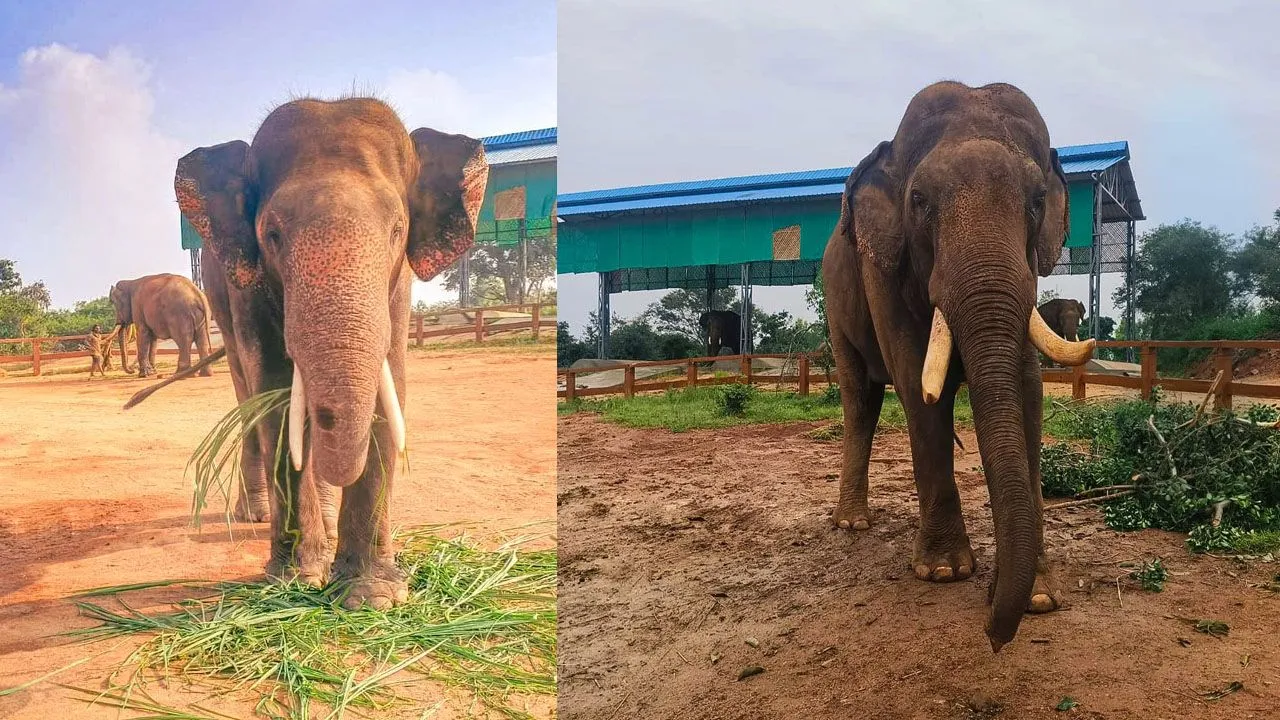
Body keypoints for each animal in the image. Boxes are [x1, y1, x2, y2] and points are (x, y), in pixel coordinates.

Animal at [168, 97, 488, 610]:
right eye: (272, 234)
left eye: (398, 230)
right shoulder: (247, 287)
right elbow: (275, 394)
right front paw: (297, 581)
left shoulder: (397, 287)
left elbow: (390, 385)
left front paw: (372, 598)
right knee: (246, 397)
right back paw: (257, 516)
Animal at [821, 81, 1095, 652]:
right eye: (919, 201)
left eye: (1038, 200)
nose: (991, 635)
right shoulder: (883, 269)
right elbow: (917, 385)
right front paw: (944, 572)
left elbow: (1027, 391)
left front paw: (1039, 598)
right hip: (836, 302)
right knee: (860, 400)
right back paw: (853, 524)